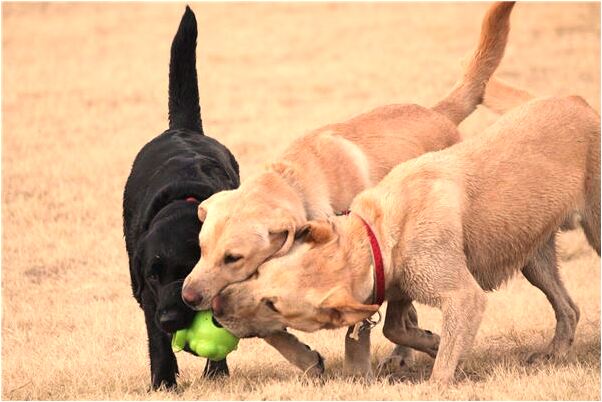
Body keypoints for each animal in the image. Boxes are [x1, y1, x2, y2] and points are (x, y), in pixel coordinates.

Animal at [122, 6, 239, 390]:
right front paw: (163, 383)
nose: (171, 319)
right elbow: (157, 341)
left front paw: (216, 373)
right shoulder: (147, 294)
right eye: (154, 275)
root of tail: (182, 128)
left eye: (188, 268)